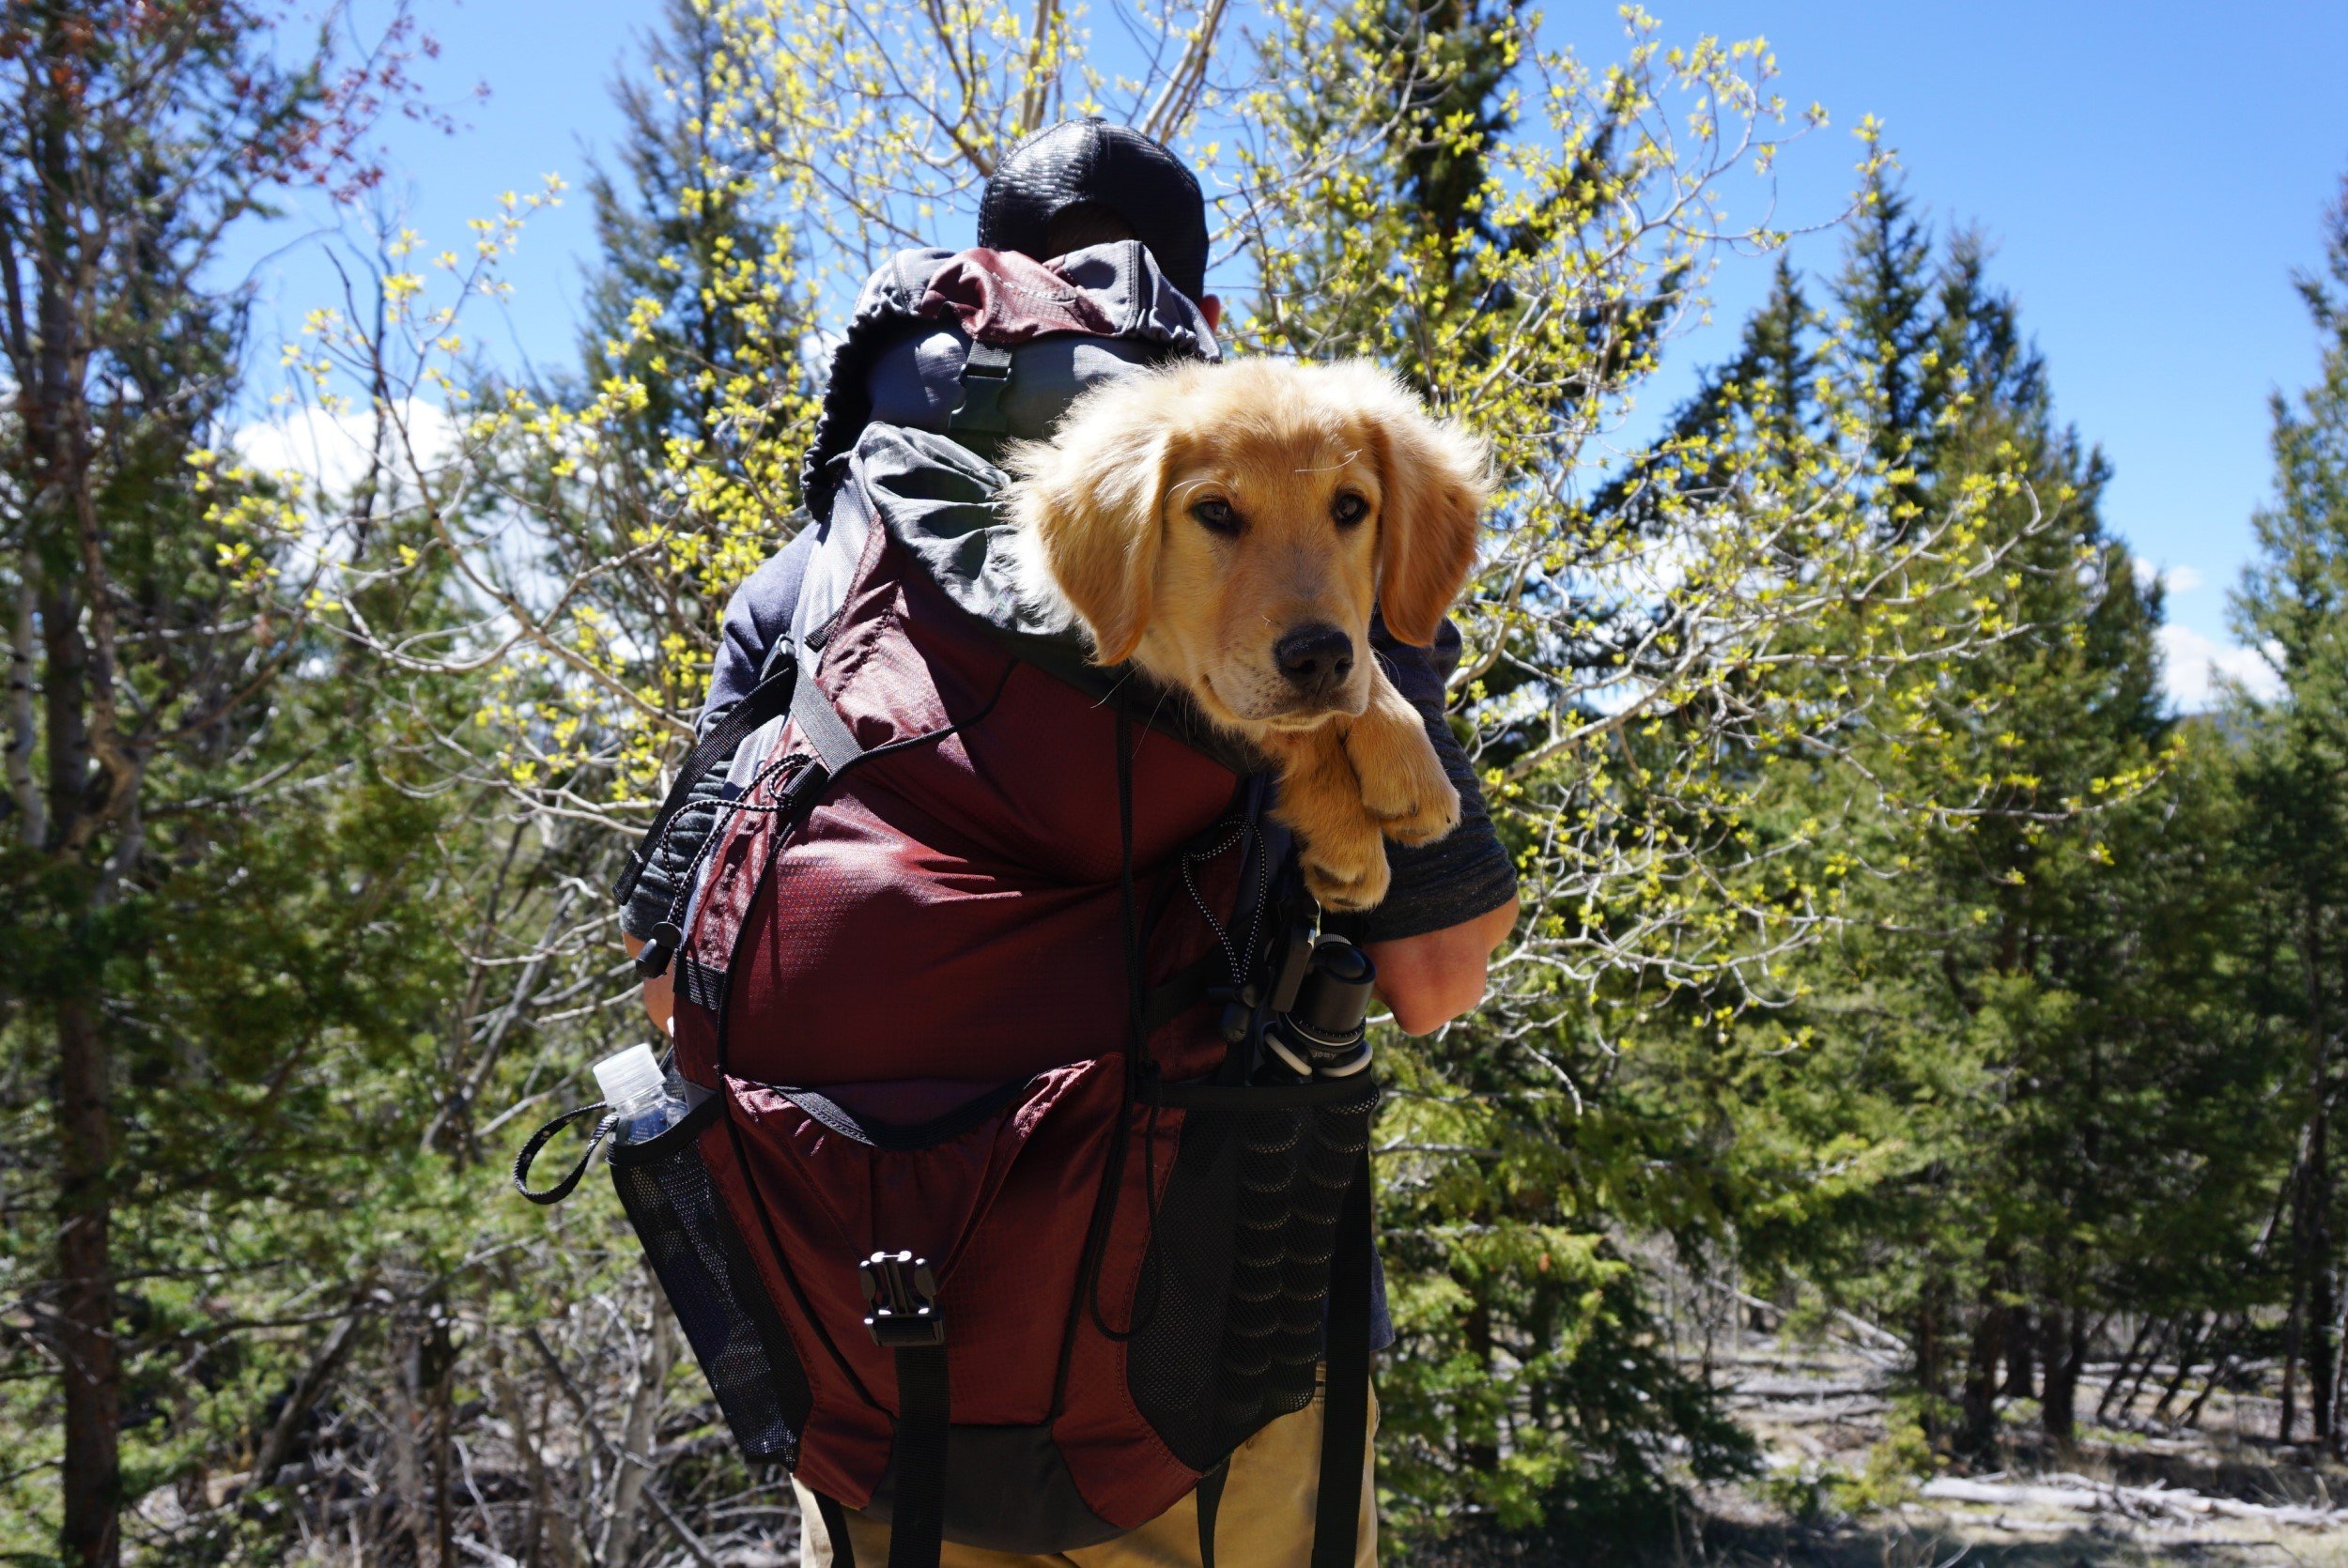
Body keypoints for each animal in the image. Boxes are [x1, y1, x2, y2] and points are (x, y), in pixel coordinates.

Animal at [1005, 359, 1484, 911]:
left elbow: (1358, 670)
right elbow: (1273, 720)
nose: (1320, 659)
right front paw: (1348, 827)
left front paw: (1402, 753)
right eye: (1214, 511)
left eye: (1349, 507)